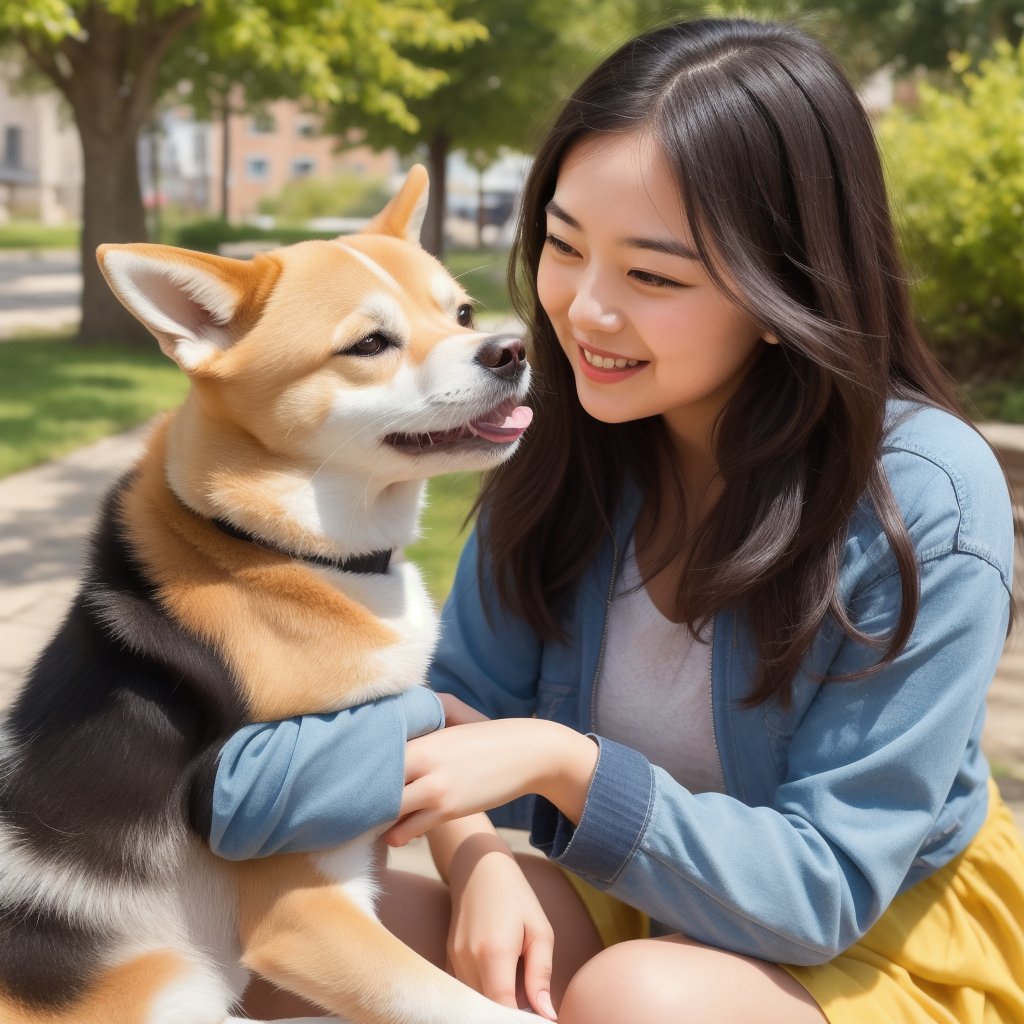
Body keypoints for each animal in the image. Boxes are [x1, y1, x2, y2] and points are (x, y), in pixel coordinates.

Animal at [0, 167, 540, 1024]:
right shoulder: (306, 911)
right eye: (368, 344)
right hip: (178, 990)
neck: (279, 548)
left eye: (460, 312)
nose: (512, 349)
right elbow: (481, 1012)